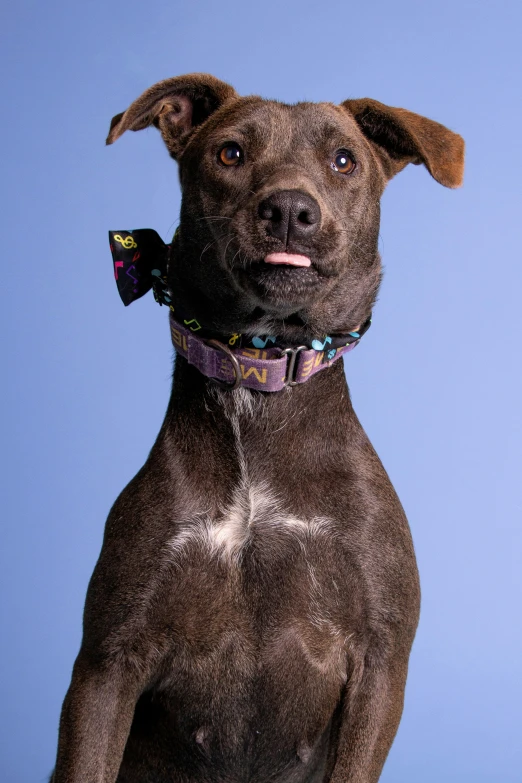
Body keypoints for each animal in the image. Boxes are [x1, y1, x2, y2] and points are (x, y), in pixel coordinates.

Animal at [49, 75, 464, 783]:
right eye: (231, 153)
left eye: (343, 160)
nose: (291, 209)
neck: (260, 375)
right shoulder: (106, 664)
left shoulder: (380, 667)